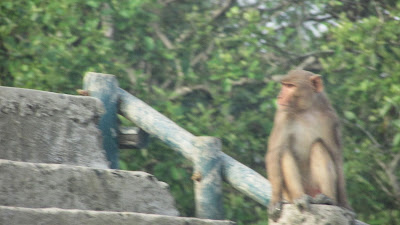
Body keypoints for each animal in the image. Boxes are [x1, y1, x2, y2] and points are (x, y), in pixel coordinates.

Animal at [268, 69, 352, 221]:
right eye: (284, 85)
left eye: (290, 86)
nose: (280, 96)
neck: (306, 110)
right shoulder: (282, 115)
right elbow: (275, 153)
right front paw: (275, 201)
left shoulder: (331, 120)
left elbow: (336, 157)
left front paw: (345, 205)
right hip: (291, 193)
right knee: (284, 151)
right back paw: (300, 198)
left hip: (315, 188)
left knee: (319, 146)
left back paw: (327, 199)